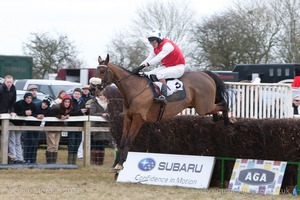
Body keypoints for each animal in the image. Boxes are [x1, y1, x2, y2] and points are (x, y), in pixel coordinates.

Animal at [95, 54, 231, 171]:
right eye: (97, 69)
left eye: (102, 71)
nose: (93, 88)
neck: (134, 88)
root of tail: (205, 74)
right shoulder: (128, 117)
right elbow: (123, 141)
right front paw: (115, 164)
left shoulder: (138, 118)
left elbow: (129, 140)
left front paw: (121, 164)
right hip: (204, 106)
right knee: (218, 105)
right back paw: (217, 119)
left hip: (203, 107)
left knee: (224, 104)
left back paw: (228, 122)